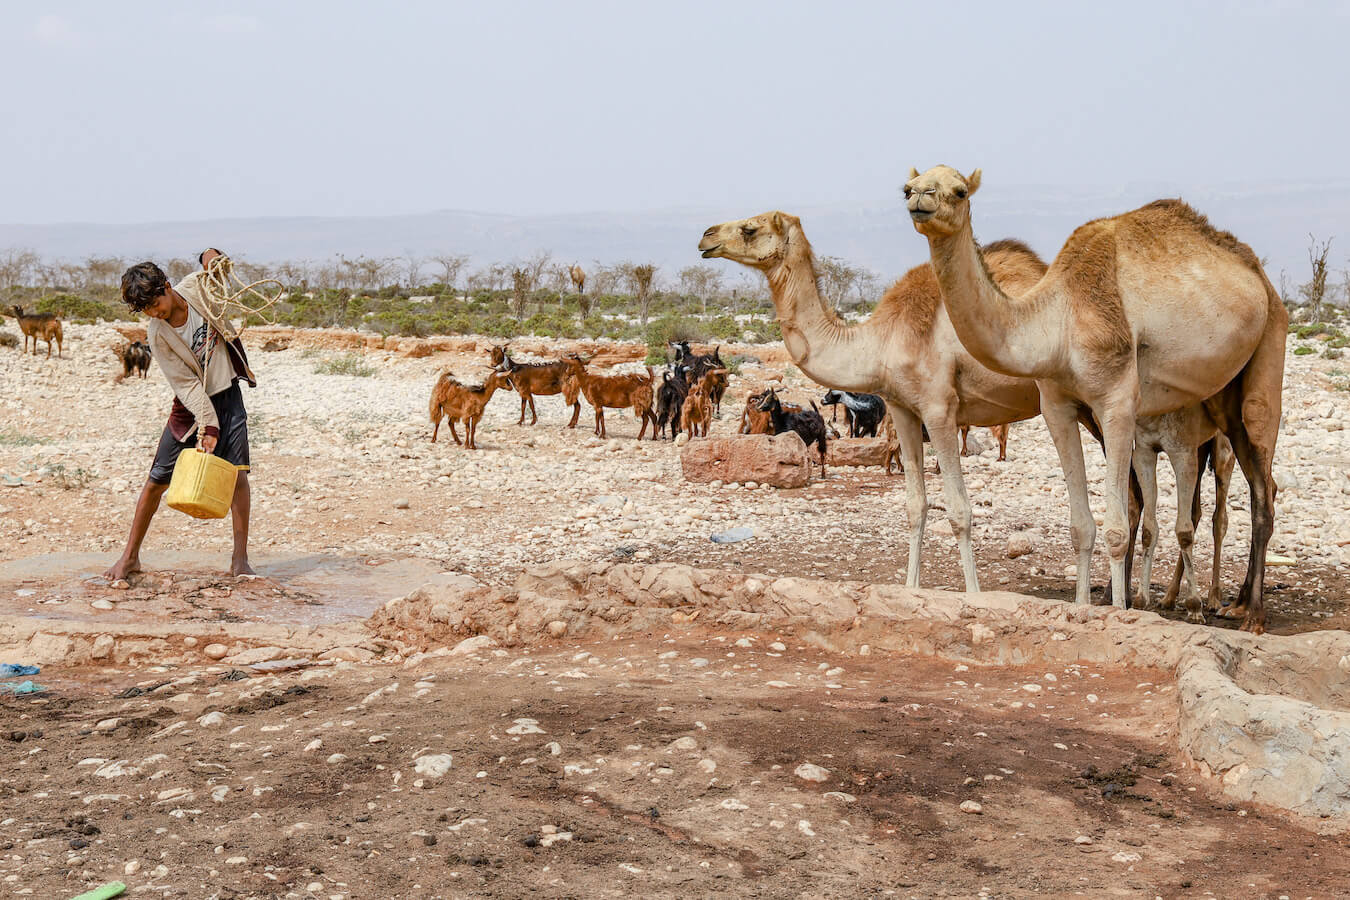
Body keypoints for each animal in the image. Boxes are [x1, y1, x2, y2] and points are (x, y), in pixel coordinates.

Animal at [698, 212, 1046, 592]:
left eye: (750, 228)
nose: (706, 237)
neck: (882, 340)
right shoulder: (903, 408)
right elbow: (915, 506)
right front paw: (911, 589)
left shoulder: (939, 409)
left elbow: (959, 511)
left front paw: (973, 596)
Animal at [905, 165, 1286, 632]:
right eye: (908, 187)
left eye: (959, 191)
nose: (920, 198)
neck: (1058, 320)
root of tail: (1260, 278)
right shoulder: (1057, 406)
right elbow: (1081, 527)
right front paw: (1083, 607)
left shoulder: (1117, 403)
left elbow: (1117, 527)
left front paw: (1122, 609)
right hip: (1222, 397)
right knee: (1258, 482)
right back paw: (1237, 603)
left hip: (1270, 342)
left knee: (1263, 483)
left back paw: (1253, 615)